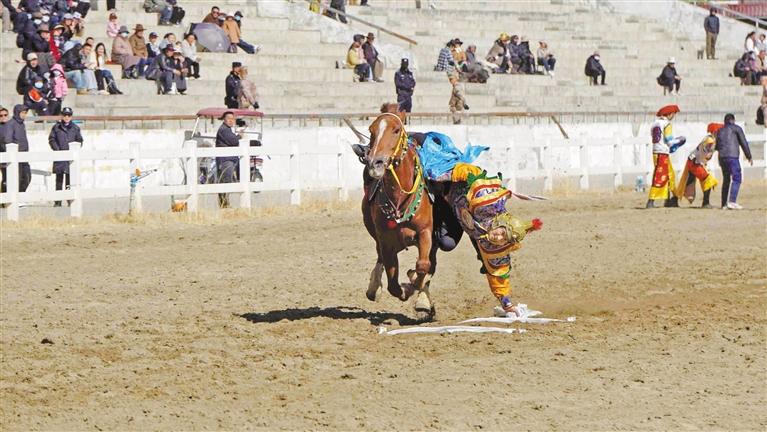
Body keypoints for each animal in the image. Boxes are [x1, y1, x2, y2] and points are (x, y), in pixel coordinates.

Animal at [361, 104, 437, 320]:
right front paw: (406, 288)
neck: (400, 200)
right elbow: (393, 285)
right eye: (371, 130)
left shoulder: (425, 232)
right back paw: (374, 287)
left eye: (396, 130)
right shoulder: (386, 240)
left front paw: (414, 284)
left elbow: (423, 265)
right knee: (380, 257)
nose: (375, 163)